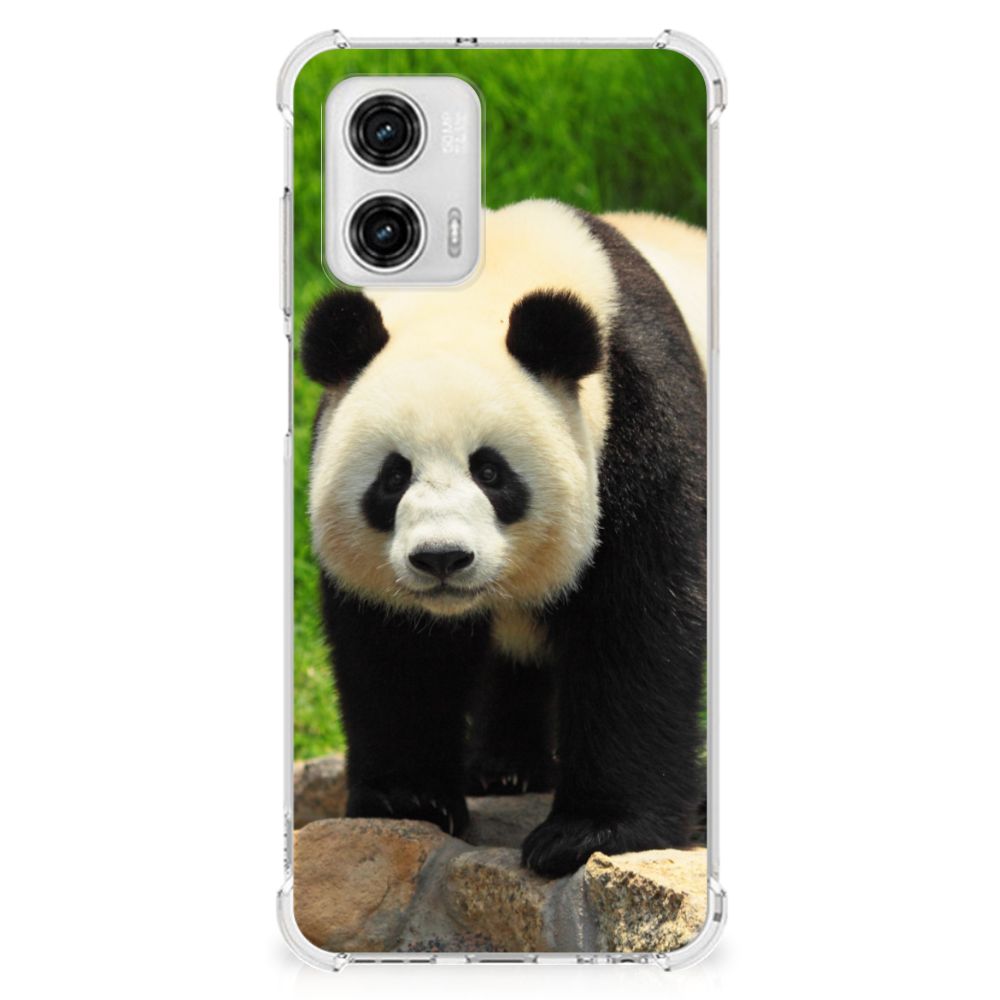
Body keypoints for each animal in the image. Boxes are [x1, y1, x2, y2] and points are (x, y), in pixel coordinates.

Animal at [302, 199, 707, 877]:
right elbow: (396, 650)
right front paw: (408, 800)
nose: (441, 558)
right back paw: (504, 769)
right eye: (393, 476)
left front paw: (589, 833)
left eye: (490, 472)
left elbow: (639, 624)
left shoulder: (642, 420)